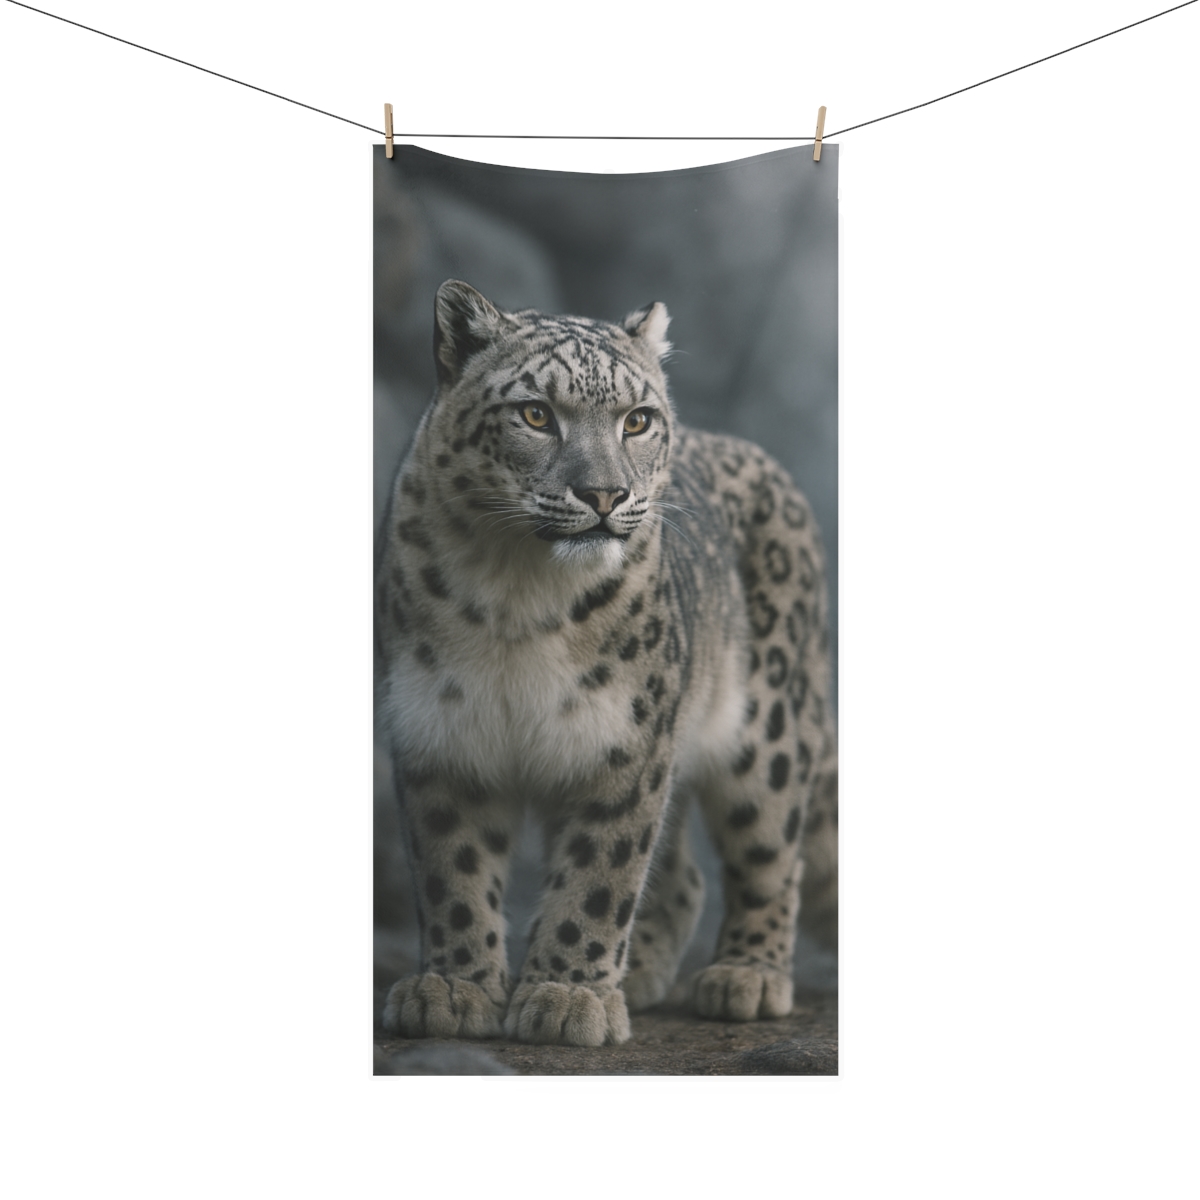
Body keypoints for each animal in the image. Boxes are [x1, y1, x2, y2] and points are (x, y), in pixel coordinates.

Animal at [377, 280, 837, 1047]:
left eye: (638, 419)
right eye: (535, 413)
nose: (604, 495)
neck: (516, 593)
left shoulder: (626, 739)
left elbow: (602, 872)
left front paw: (567, 996)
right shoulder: (440, 728)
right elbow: (454, 869)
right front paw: (454, 988)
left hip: (770, 731)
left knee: (772, 852)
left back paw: (744, 976)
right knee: (684, 878)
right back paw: (643, 973)